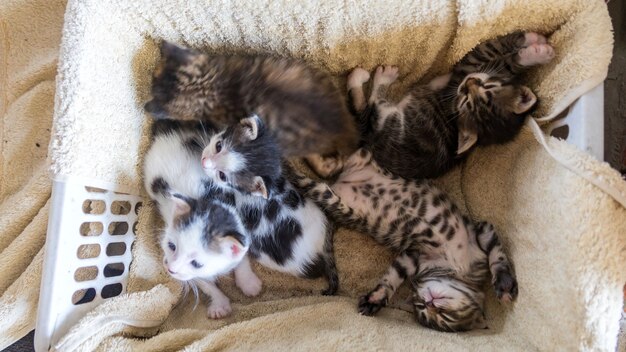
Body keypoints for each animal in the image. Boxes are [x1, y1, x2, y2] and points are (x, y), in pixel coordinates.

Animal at [286, 150, 516, 332]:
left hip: (339, 201)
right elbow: (498, 256)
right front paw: (505, 284)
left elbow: (391, 279)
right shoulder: (480, 231)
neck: (456, 270)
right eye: (445, 315)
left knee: (320, 173)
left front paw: (375, 300)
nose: (430, 302)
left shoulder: (414, 258)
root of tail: (340, 181)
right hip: (362, 159)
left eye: (422, 308)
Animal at [346, 31, 556, 180]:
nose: (468, 83)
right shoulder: (468, 72)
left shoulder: (465, 70)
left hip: (388, 119)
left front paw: (532, 46)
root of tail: (370, 144)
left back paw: (375, 77)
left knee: (371, 106)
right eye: (487, 87)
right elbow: (504, 57)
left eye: (465, 101)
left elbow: (496, 51)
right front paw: (536, 47)